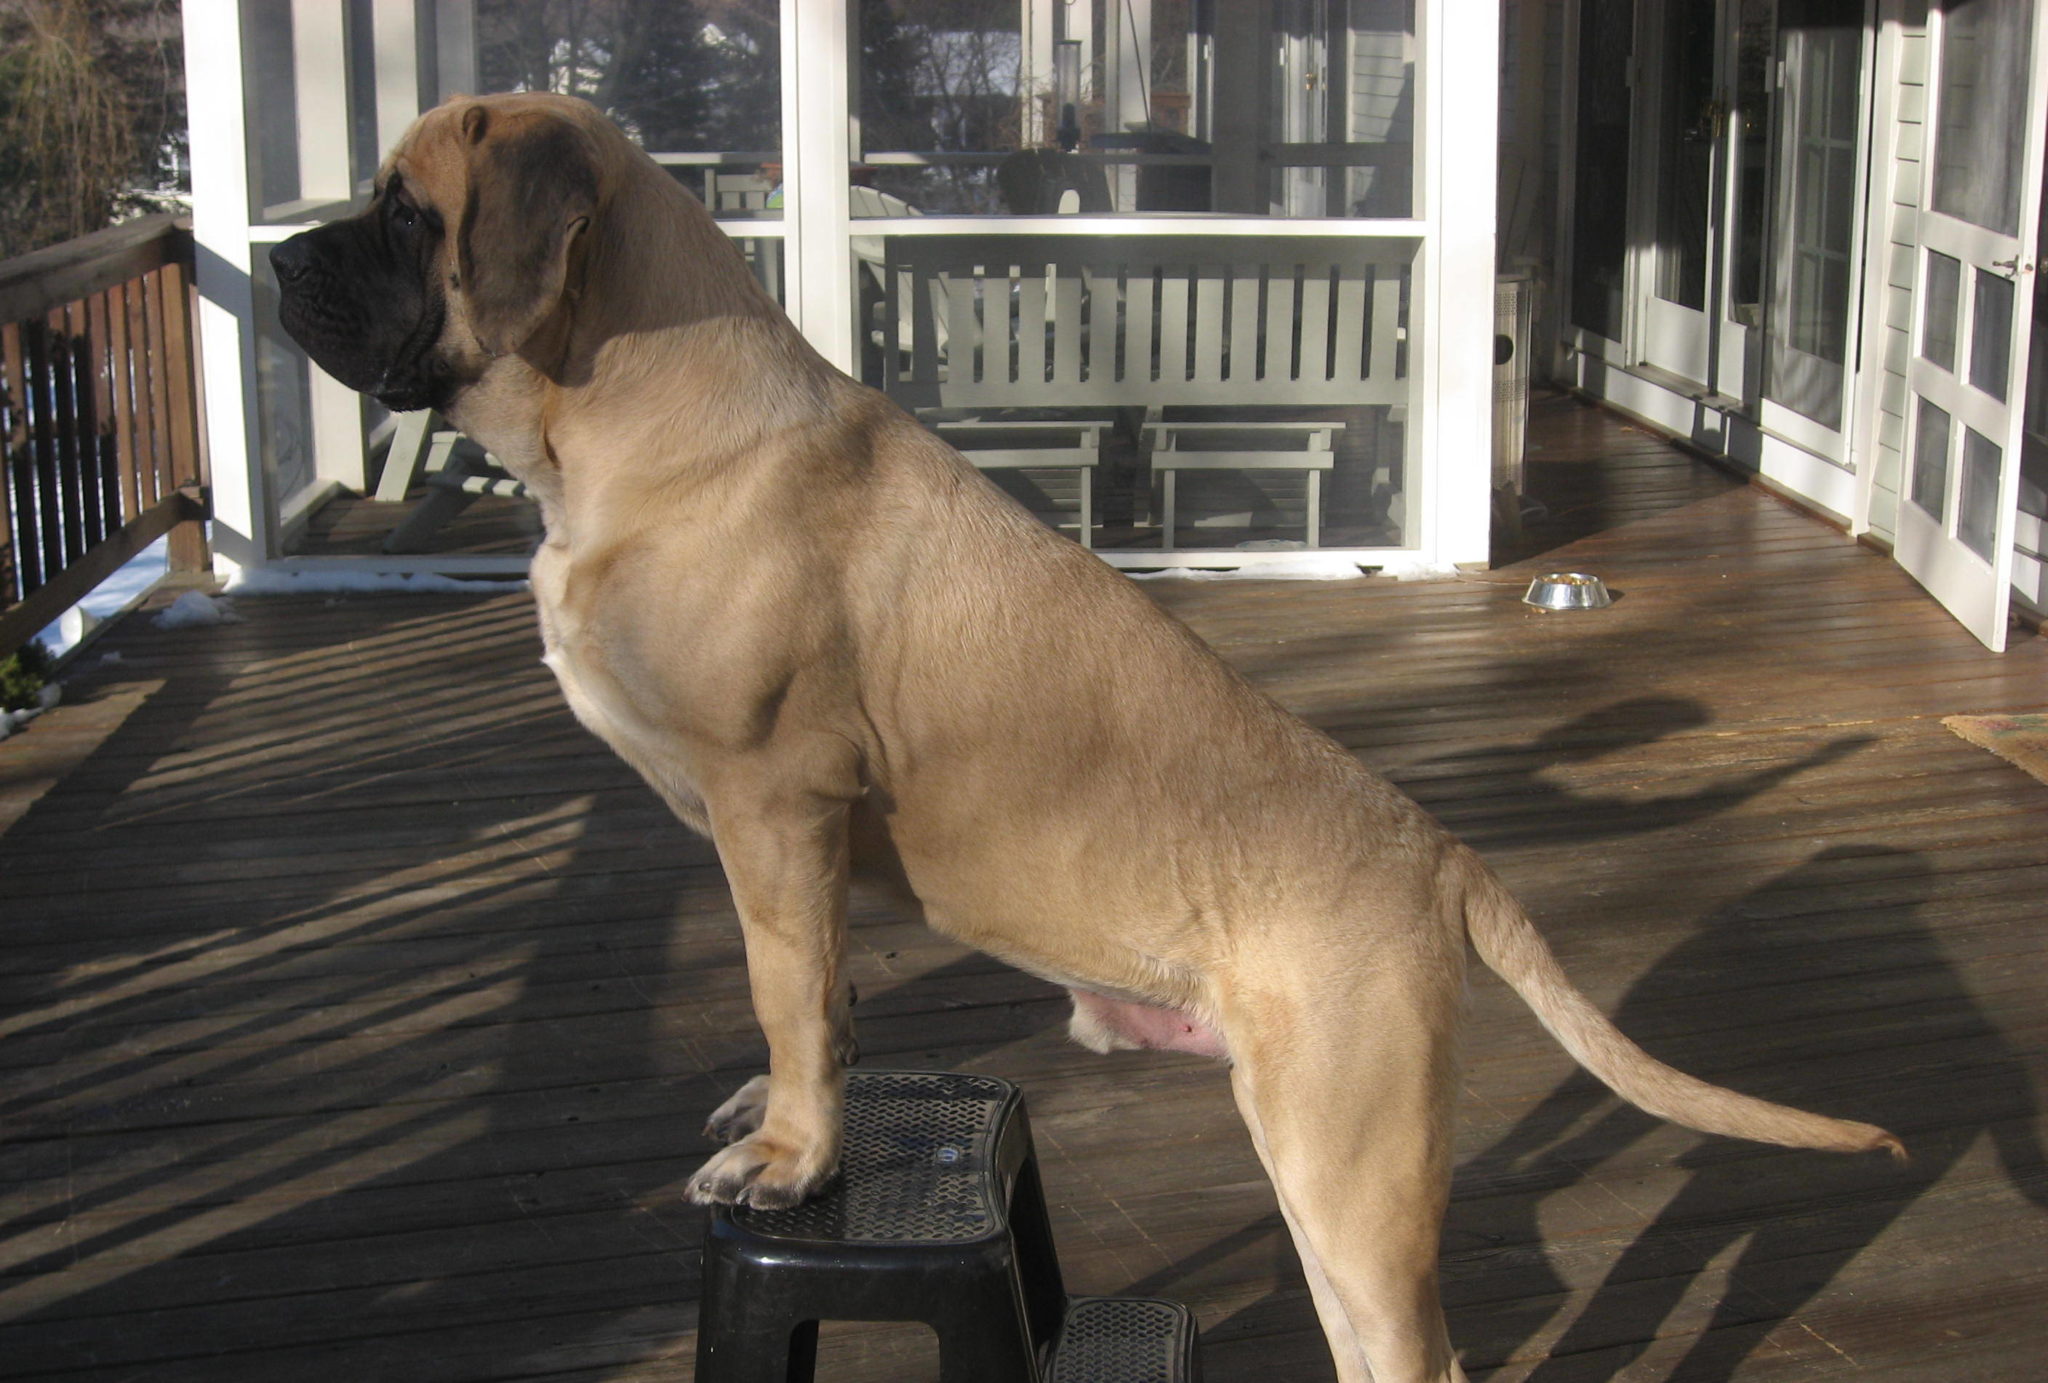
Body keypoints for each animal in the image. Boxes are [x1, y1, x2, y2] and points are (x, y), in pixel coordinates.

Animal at [276, 92, 1900, 1376]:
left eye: (404, 209)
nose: (282, 254)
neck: (626, 409)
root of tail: (1436, 852)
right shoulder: (793, 838)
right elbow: (818, 990)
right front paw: (793, 1106)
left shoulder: (775, 801)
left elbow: (787, 985)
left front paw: (793, 1155)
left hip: (1348, 1166)